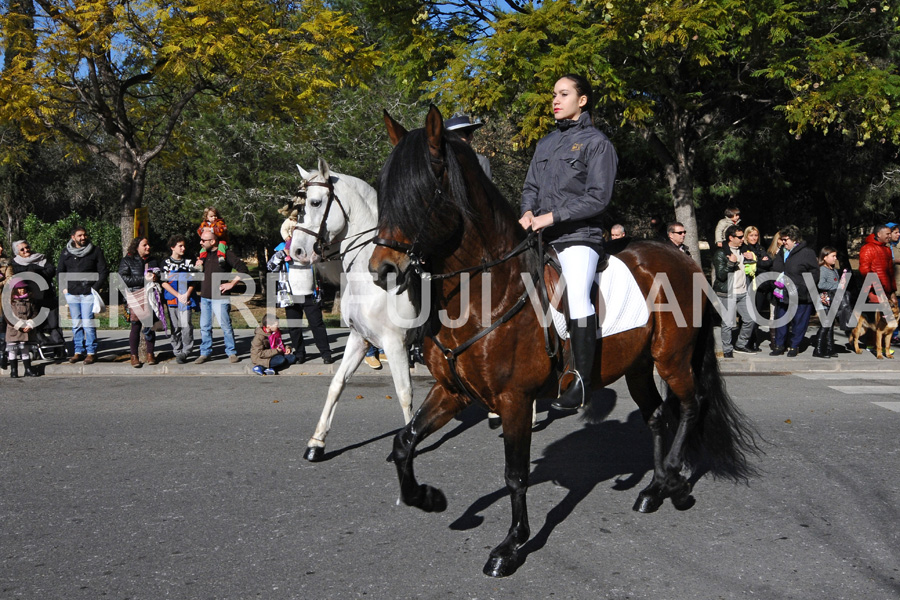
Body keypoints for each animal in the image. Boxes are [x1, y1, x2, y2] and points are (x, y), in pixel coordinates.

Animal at [290, 157, 420, 462]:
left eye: (315, 202)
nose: (296, 252)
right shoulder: (359, 339)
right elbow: (337, 384)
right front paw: (317, 442)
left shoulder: (395, 344)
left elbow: (404, 392)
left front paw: (406, 447)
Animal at [370, 106, 756, 576]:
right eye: (384, 189)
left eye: (425, 191)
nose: (383, 270)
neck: (484, 292)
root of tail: (682, 259)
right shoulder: (453, 392)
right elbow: (403, 442)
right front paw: (428, 498)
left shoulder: (515, 401)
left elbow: (515, 475)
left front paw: (510, 546)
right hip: (638, 367)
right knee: (656, 416)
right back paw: (656, 486)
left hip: (672, 359)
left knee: (689, 406)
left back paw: (676, 484)